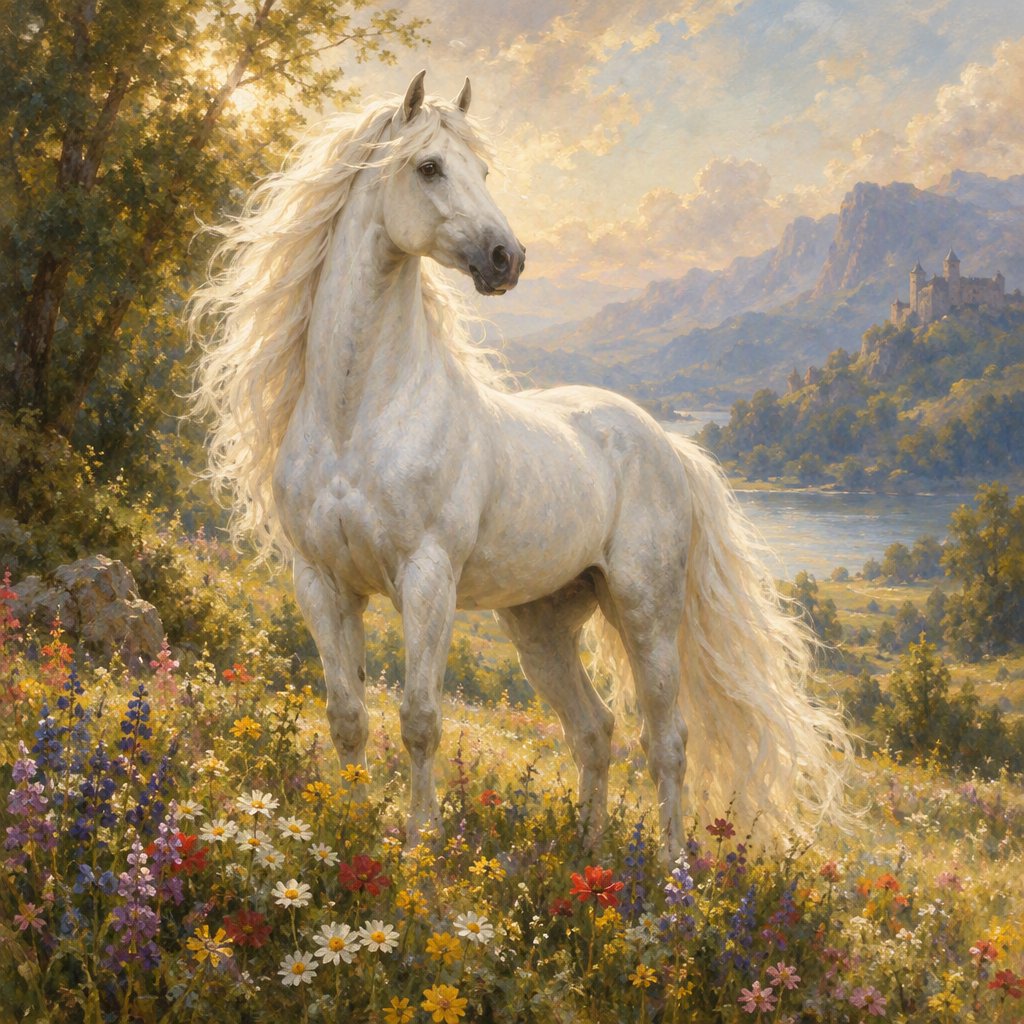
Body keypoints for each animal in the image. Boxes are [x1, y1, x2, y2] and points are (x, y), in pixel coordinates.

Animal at [191, 71, 849, 858]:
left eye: (484, 171)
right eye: (429, 167)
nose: (508, 259)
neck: (359, 416)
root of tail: (669, 444)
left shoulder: (427, 580)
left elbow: (419, 720)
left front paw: (420, 847)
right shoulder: (321, 582)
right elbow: (348, 717)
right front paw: (345, 833)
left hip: (645, 611)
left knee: (668, 741)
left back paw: (671, 874)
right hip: (541, 624)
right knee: (595, 730)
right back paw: (586, 857)